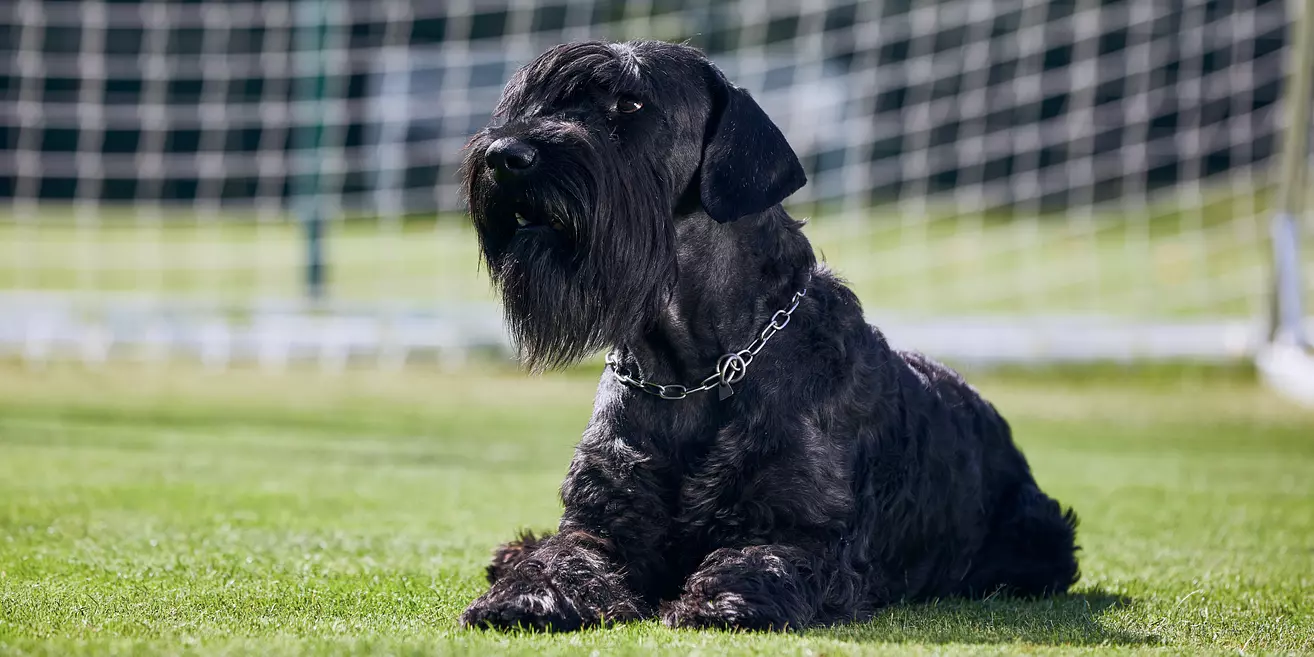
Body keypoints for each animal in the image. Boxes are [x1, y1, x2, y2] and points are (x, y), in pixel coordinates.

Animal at [457, 39, 1072, 630]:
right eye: (539, 102)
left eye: (629, 104)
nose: (505, 156)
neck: (691, 371)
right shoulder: (602, 522)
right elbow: (564, 555)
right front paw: (527, 592)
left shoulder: (800, 529)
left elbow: (759, 559)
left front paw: (721, 600)